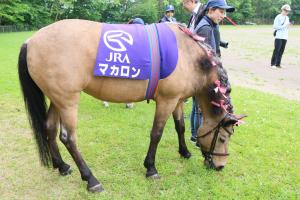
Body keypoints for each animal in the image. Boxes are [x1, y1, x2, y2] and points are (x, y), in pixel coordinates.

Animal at [18, 19, 244, 192]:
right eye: (222, 138)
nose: (220, 166)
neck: (189, 56)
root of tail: (31, 41)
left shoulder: (177, 100)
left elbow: (180, 126)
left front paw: (185, 152)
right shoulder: (166, 101)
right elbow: (157, 134)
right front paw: (151, 168)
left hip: (56, 98)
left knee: (49, 128)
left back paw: (62, 166)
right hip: (67, 101)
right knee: (68, 138)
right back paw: (91, 179)